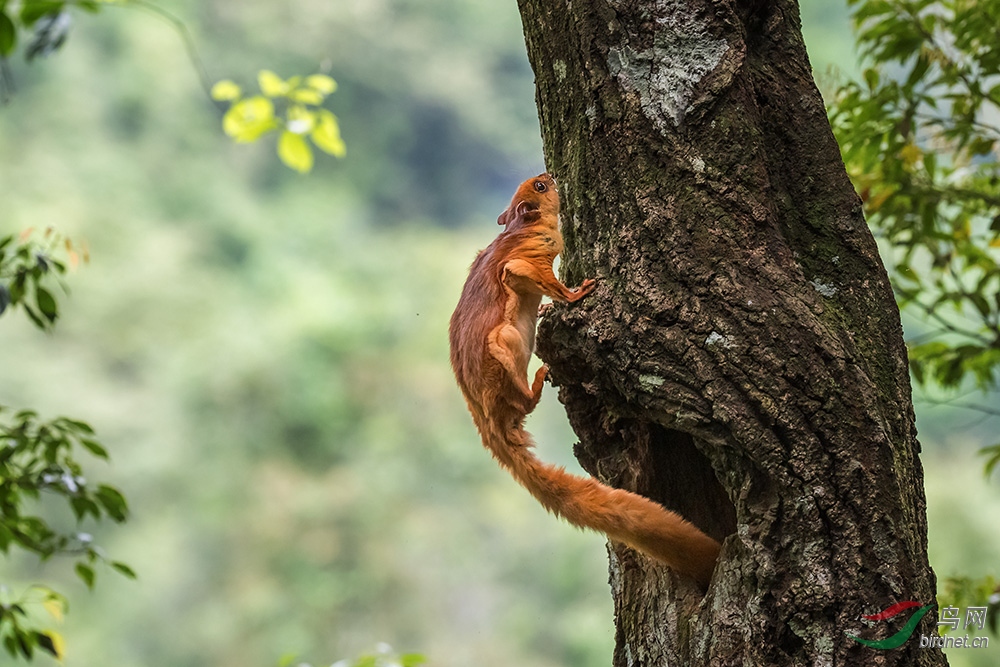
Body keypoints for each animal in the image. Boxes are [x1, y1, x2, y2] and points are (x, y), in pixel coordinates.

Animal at [450, 174, 724, 588]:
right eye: (540, 187)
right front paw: (577, 292)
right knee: (523, 399)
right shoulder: (525, 261)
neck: (521, 228)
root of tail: (492, 424)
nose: (551, 174)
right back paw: (537, 381)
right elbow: (540, 279)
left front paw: (551, 305)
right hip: (504, 346)